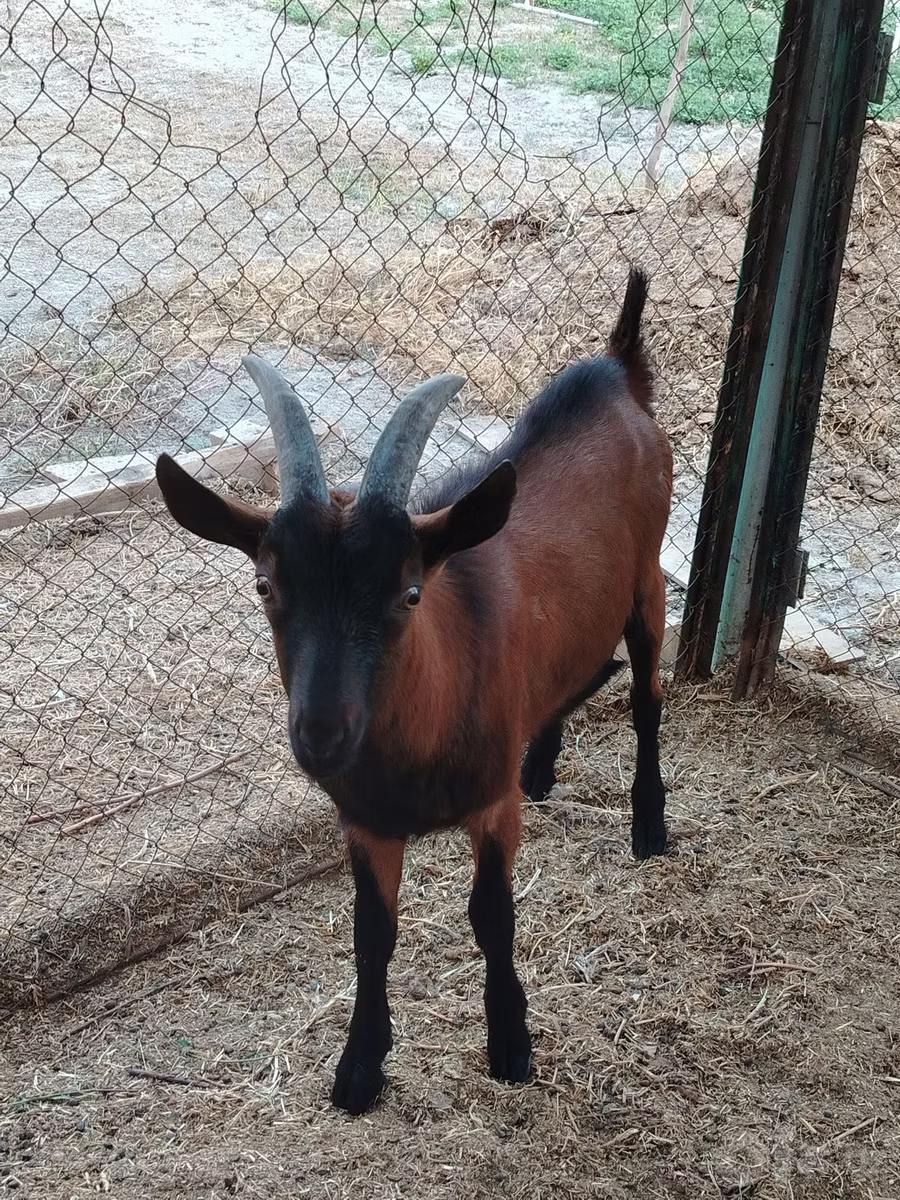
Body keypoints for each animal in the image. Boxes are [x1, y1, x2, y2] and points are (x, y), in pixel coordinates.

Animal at [154, 267, 673, 1115]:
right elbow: (373, 935)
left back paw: (649, 824)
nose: (321, 732)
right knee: (584, 672)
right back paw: (543, 763)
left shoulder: (490, 808)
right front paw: (359, 1068)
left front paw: (510, 1043)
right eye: (265, 586)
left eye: (407, 593)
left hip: (648, 582)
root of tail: (617, 371)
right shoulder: (366, 823)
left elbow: (492, 917)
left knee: (648, 697)